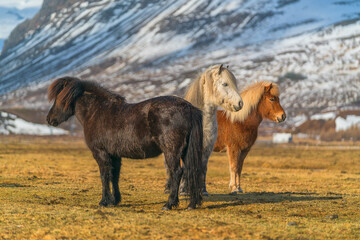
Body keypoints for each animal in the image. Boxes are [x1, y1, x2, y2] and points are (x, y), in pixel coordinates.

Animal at [45, 77, 202, 210]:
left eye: (60, 99)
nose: (49, 119)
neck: (96, 112)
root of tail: (188, 107)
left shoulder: (100, 153)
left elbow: (104, 176)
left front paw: (104, 201)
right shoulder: (114, 155)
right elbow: (114, 176)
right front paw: (115, 200)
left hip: (171, 151)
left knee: (177, 172)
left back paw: (169, 204)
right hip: (184, 152)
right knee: (190, 171)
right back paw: (191, 204)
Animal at [165, 64, 243, 196]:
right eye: (225, 84)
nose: (240, 103)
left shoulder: (207, 149)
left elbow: (203, 168)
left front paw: (203, 190)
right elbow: (186, 167)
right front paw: (183, 191)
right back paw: (168, 188)